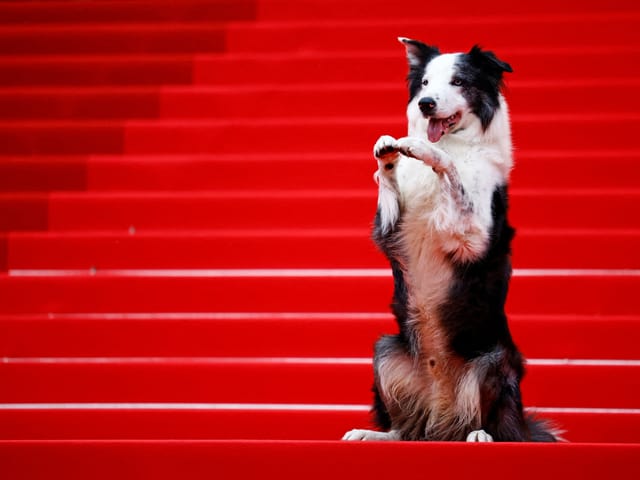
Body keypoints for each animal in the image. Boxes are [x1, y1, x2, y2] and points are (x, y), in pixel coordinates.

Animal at [342, 39, 556, 444]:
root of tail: (444, 415)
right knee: (409, 430)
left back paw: (481, 435)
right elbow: (389, 185)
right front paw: (387, 152)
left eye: (458, 81)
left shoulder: (473, 236)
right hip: (386, 350)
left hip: (493, 362)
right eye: (424, 83)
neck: (457, 142)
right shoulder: (391, 232)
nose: (426, 103)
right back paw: (377, 434)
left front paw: (429, 153)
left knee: (496, 426)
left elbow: (450, 168)